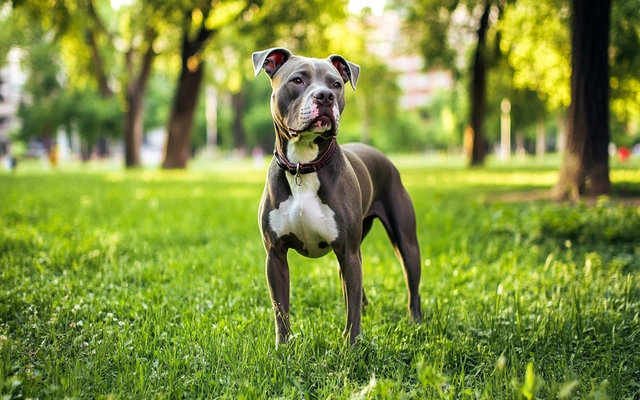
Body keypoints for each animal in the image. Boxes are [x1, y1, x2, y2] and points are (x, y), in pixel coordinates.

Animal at [252, 47, 422, 346]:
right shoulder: (275, 256)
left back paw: (416, 321)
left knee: (411, 285)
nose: (325, 96)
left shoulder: (347, 252)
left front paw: (351, 345)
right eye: (297, 80)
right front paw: (283, 347)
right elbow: (280, 308)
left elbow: (351, 310)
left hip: (405, 242)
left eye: (336, 84)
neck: (304, 165)